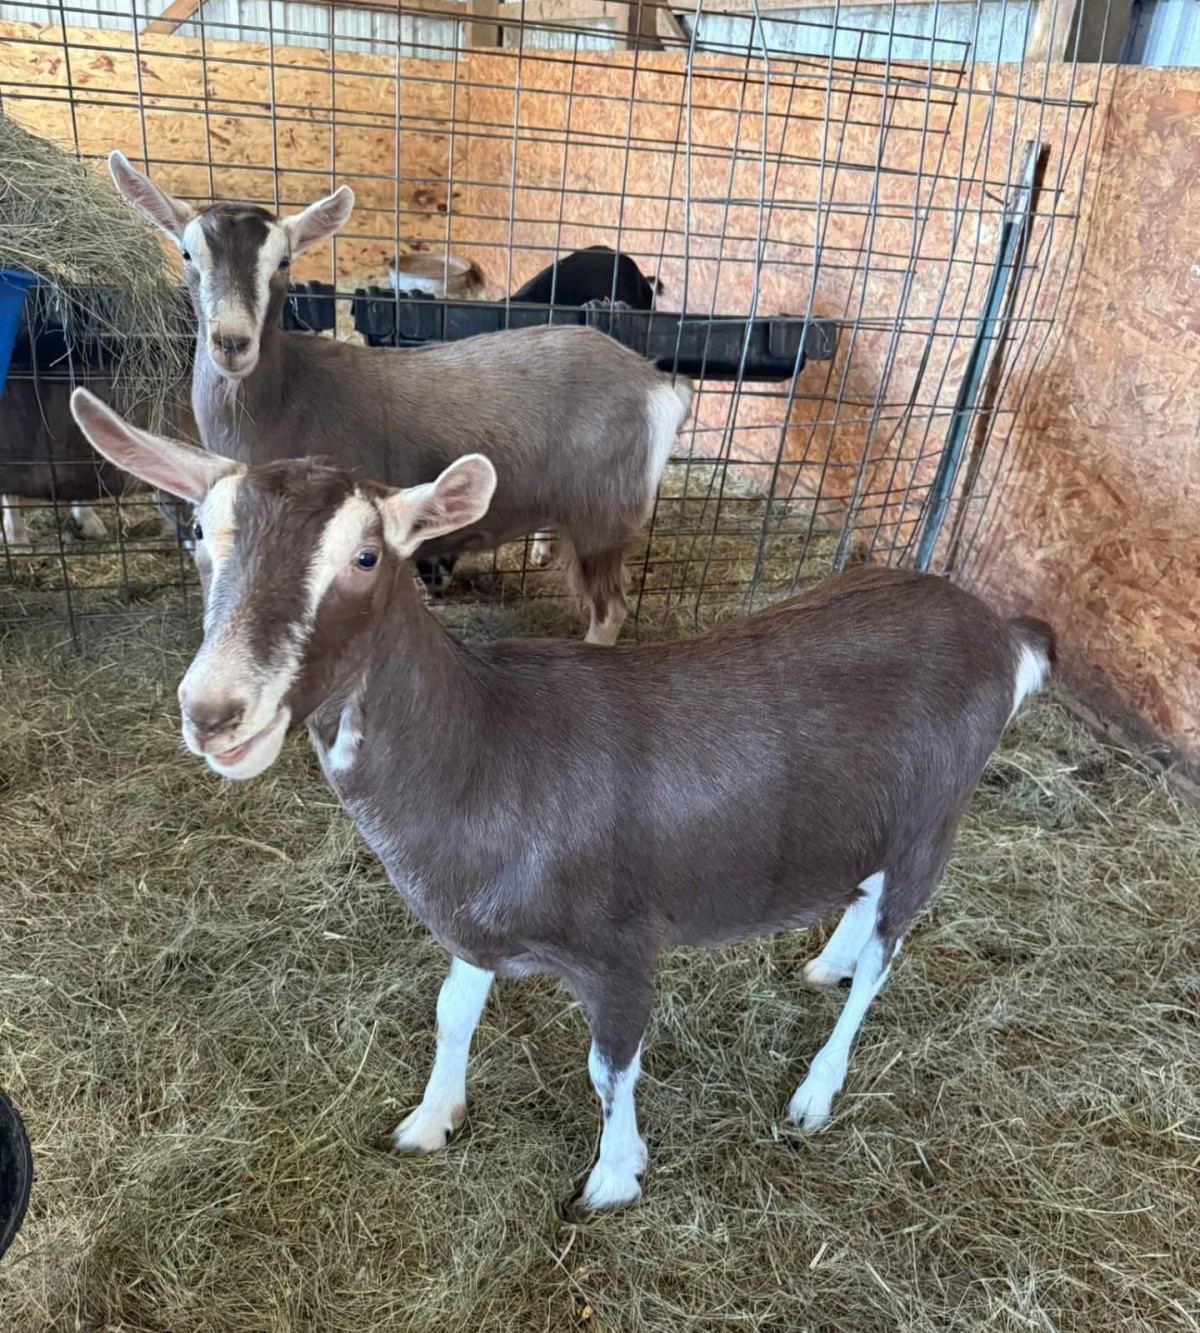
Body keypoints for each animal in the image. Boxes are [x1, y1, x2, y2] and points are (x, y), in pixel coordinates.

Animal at [73, 386, 1056, 1214]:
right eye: (200, 538)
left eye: (366, 555)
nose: (214, 712)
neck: (492, 749)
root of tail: (1007, 635)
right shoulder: (474, 917)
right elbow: (452, 1011)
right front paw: (428, 1121)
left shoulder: (622, 944)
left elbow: (608, 1064)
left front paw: (613, 1178)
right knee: (864, 898)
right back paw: (826, 963)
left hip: (937, 815)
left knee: (894, 944)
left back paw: (816, 1087)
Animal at [107, 153, 692, 645]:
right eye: (187, 253)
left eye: (284, 262)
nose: (232, 342)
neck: (287, 392)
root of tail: (656, 384)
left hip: (603, 514)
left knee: (610, 609)